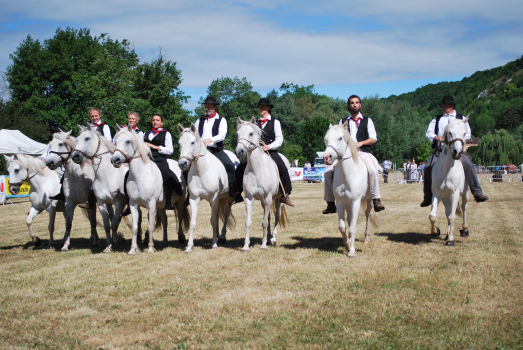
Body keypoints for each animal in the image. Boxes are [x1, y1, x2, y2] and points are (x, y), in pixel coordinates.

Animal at [110, 125, 188, 254]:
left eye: (128, 141)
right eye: (115, 141)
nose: (115, 160)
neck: (140, 175)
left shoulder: (151, 204)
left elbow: (150, 226)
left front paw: (151, 248)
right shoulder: (133, 204)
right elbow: (135, 227)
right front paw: (133, 249)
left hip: (180, 200)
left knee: (180, 215)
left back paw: (181, 237)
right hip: (161, 205)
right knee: (165, 220)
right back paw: (165, 242)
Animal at [177, 124, 234, 253]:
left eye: (192, 142)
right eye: (179, 143)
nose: (182, 163)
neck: (202, 171)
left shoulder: (214, 198)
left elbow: (213, 220)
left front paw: (214, 244)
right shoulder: (194, 199)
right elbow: (193, 222)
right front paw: (189, 247)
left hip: (228, 198)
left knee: (226, 213)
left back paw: (221, 237)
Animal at [235, 117, 288, 252]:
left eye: (251, 133)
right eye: (238, 134)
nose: (239, 151)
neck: (257, 170)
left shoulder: (268, 198)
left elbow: (265, 222)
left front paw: (263, 245)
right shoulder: (249, 198)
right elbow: (249, 222)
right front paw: (246, 246)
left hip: (279, 199)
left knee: (276, 216)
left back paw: (273, 239)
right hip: (265, 202)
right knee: (268, 216)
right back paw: (268, 237)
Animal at [324, 123, 376, 258]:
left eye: (340, 138)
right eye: (326, 139)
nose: (327, 157)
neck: (347, 175)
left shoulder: (356, 202)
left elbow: (353, 227)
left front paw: (352, 251)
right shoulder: (340, 202)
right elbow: (342, 226)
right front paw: (347, 244)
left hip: (369, 199)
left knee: (368, 214)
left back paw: (366, 238)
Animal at [430, 118, 470, 246]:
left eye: (464, 133)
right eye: (450, 133)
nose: (457, 152)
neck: (446, 170)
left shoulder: (455, 194)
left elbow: (452, 217)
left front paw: (451, 240)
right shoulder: (437, 194)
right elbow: (432, 216)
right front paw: (435, 231)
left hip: (465, 194)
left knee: (464, 208)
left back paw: (464, 230)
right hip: (446, 198)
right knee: (448, 212)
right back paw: (447, 234)